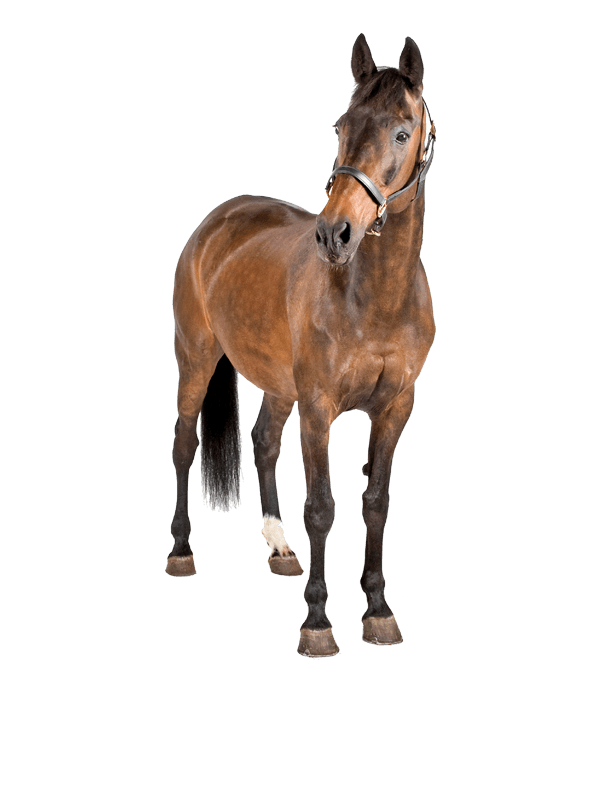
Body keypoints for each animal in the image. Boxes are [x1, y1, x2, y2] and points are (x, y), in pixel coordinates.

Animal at [167, 33, 437, 658]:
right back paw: (181, 551)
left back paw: (278, 547)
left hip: (278, 383)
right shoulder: (319, 409)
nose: (334, 234)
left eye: (401, 132)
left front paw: (378, 610)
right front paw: (317, 621)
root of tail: (217, 221)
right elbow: (322, 507)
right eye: (343, 125)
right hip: (196, 362)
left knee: (264, 442)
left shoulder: (396, 409)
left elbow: (375, 503)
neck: (375, 297)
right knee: (184, 446)